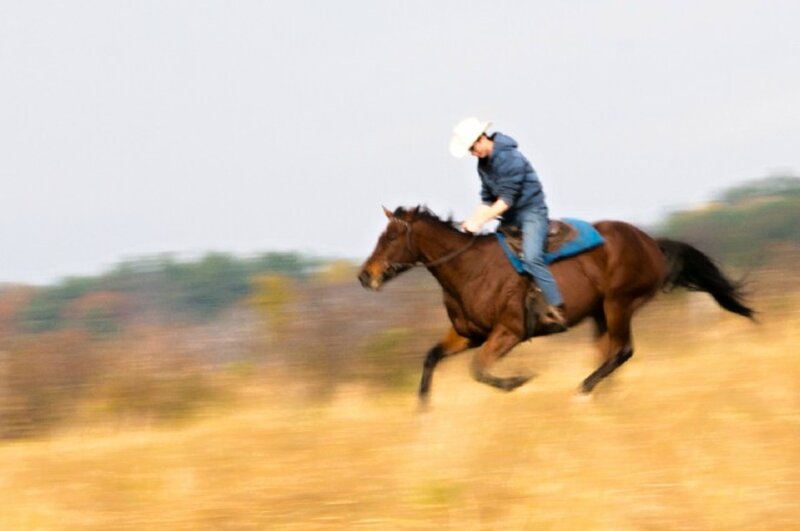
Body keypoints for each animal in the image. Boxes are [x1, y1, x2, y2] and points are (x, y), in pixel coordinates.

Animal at [358, 206, 754, 405]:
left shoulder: (509, 332)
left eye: (390, 236)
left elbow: (478, 369)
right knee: (608, 353)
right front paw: (423, 409)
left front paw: (518, 380)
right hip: (600, 313)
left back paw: (583, 391)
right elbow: (431, 357)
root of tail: (651, 242)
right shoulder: (468, 334)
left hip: (619, 304)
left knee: (623, 351)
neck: (469, 269)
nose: (365, 276)